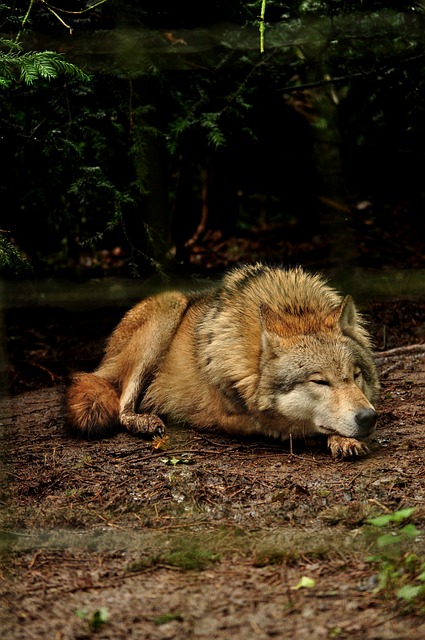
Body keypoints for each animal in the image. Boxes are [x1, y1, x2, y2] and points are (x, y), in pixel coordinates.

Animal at [66, 263, 379, 458]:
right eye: (319, 381)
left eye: (356, 375)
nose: (368, 417)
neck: (293, 309)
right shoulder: (229, 416)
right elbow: (292, 424)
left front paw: (344, 440)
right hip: (169, 308)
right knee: (122, 406)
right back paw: (144, 420)